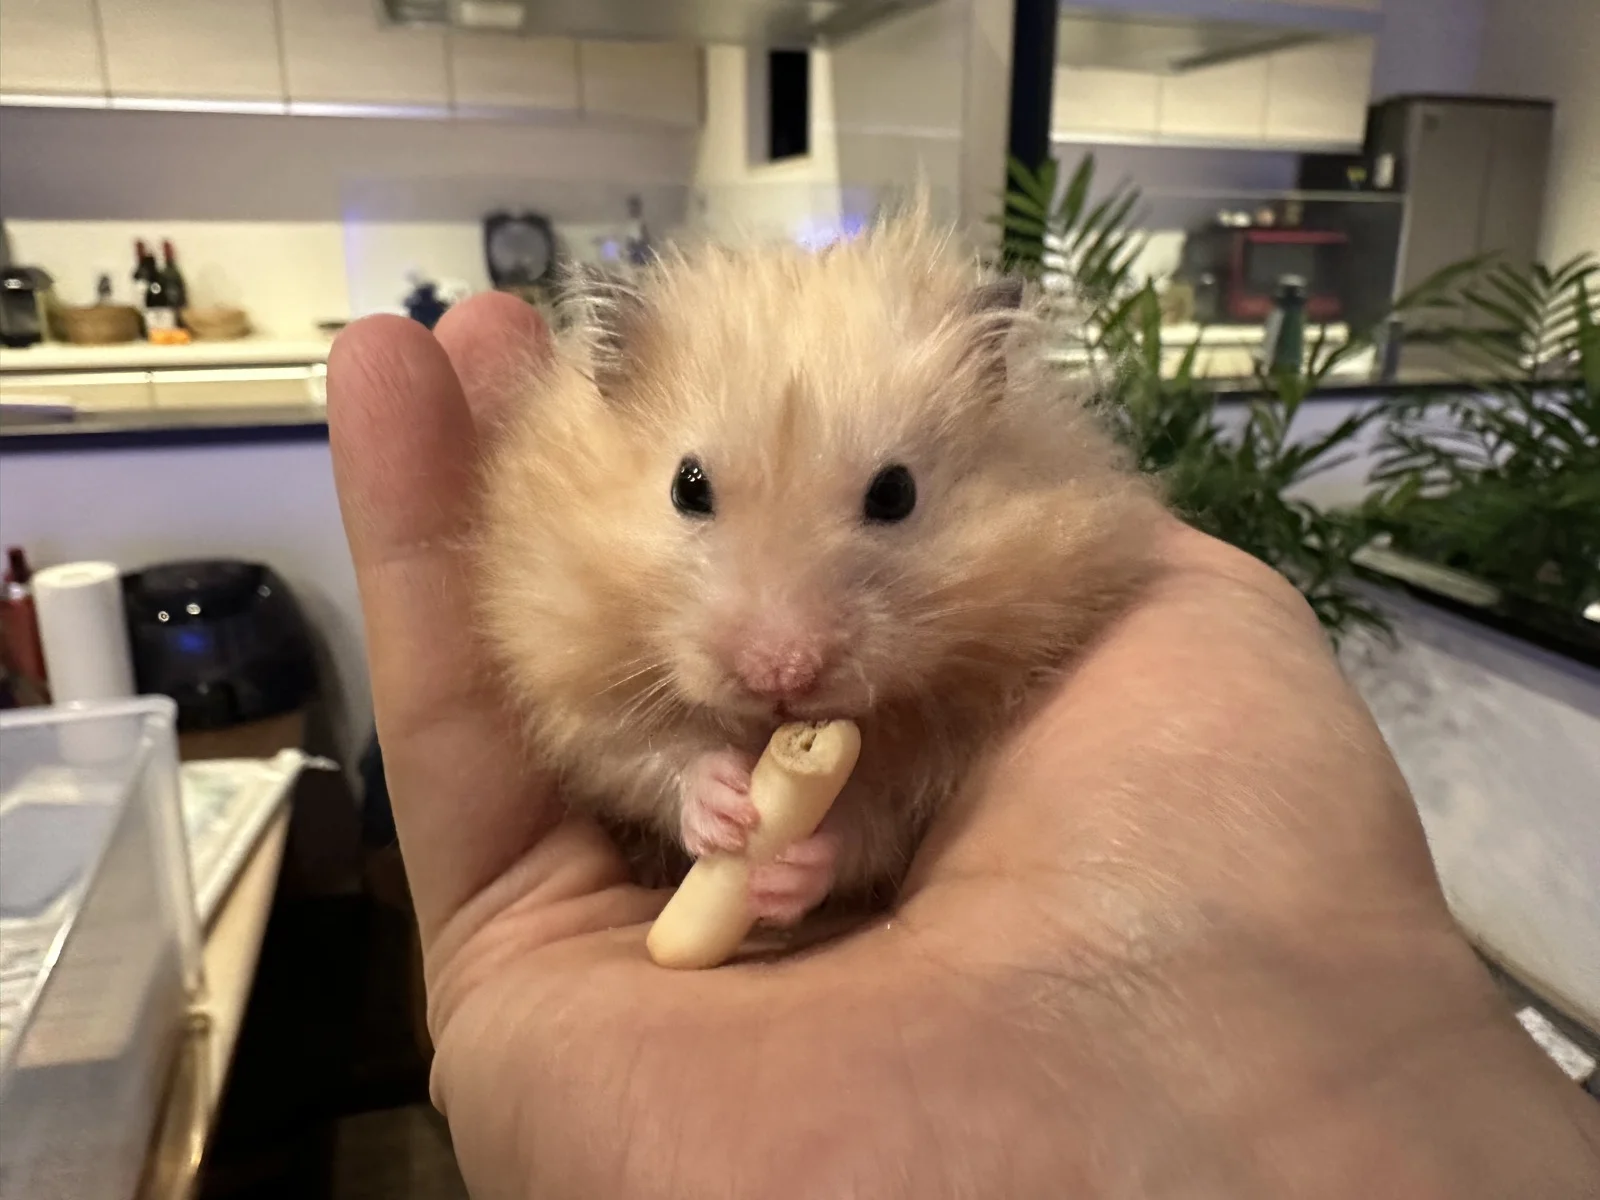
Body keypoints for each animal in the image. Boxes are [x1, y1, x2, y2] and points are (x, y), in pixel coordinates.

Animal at [475, 206, 1165, 927]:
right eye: (687, 487)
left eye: (895, 493)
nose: (781, 674)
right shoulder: (566, 674)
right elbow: (640, 752)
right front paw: (725, 807)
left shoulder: (949, 742)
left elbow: (871, 822)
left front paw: (786, 870)